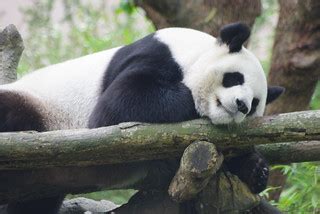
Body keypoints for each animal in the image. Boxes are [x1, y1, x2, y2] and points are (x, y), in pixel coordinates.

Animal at [1, 22, 284, 213]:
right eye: (235, 78)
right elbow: (115, 106)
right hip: (38, 111)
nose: (241, 105)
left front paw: (256, 169)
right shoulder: (158, 55)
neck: (193, 52)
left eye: (255, 103)